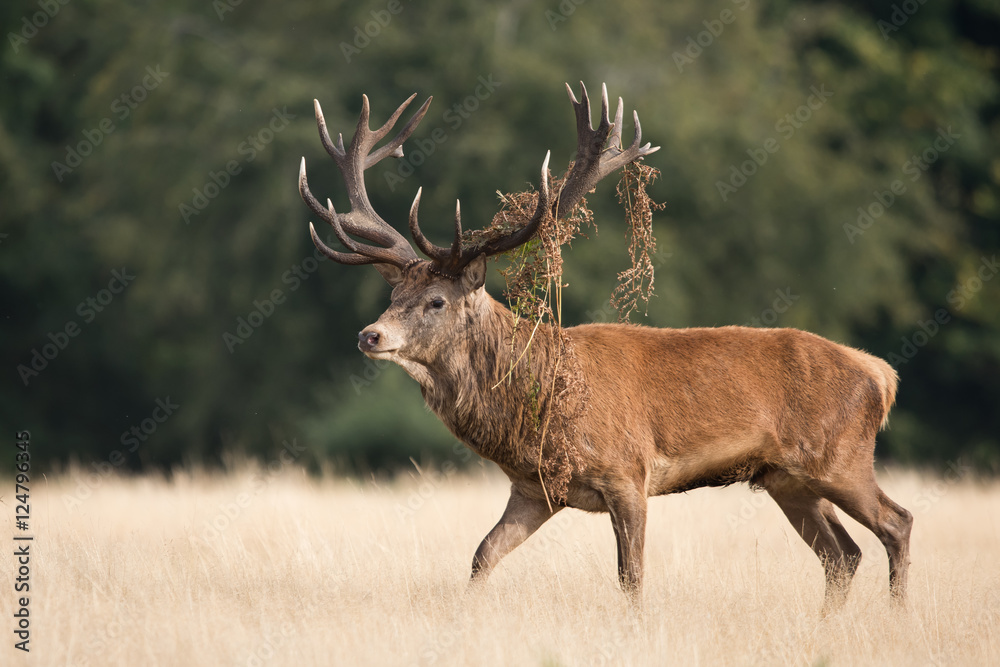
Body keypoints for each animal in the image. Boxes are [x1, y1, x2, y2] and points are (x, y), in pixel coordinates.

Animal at [297, 82, 913, 612]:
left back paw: (897, 616)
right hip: (789, 480)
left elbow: (630, 578)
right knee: (842, 555)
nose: (370, 335)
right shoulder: (534, 488)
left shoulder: (629, 472)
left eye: (437, 301)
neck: (538, 408)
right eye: (394, 293)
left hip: (840, 457)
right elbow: (482, 555)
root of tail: (882, 375)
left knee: (896, 522)